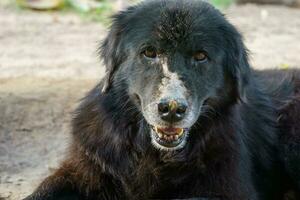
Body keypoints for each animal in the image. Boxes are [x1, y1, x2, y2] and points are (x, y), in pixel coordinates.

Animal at [23, 0, 300, 200]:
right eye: (149, 52)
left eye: (201, 56)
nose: (172, 109)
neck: (152, 154)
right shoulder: (85, 169)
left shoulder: (228, 189)